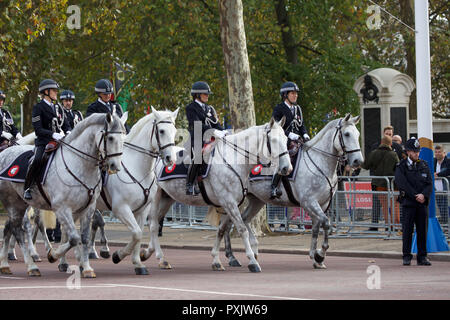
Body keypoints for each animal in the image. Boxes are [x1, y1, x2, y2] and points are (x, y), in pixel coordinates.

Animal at [0, 113, 125, 278]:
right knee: (19, 230)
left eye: (123, 138)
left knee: (10, 228)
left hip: (20, 204)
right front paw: (54, 255)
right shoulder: (62, 208)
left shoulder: (88, 208)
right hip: (12, 202)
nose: (115, 166)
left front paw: (86, 267)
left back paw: (5, 264)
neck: (80, 165)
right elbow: (74, 238)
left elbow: (84, 238)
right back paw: (31, 266)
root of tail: (4, 152)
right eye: (110, 138)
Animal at [142, 117, 294, 272]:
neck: (234, 159)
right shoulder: (228, 201)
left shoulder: (230, 204)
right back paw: (160, 258)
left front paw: (216, 260)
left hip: (167, 198)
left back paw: (149, 253)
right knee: (153, 224)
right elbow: (242, 229)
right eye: (274, 140)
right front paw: (252, 261)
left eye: (285, 139)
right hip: (155, 198)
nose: (287, 168)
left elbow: (221, 230)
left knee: (155, 223)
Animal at [220, 114, 364, 268]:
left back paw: (253, 252)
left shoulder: (323, 204)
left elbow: (316, 228)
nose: (358, 161)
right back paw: (232, 257)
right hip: (233, 201)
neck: (319, 162)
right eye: (347, 134)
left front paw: (315, 257)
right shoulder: (309, 202)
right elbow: (326, 223)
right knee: (228, 224)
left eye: (358, 134)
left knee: (244, 219)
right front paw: (320, 255)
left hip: (256, 200)